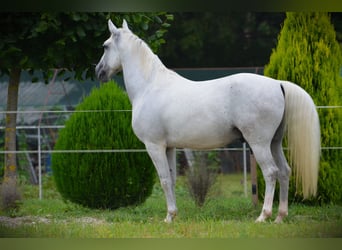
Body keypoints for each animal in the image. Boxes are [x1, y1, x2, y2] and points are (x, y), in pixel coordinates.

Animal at [95, 19, 320, 223]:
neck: (150, 86)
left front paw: (168, 218)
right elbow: (172, 179)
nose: (99, 71)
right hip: (274, 143)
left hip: (259, 144)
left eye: (105, 46)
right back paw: (280, 216)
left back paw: (263, 216)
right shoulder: (169, 147)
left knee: (272, 173)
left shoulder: (154, 146)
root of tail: (277, 84)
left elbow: (165, 180)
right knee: (284, 172)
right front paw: (173, 214)